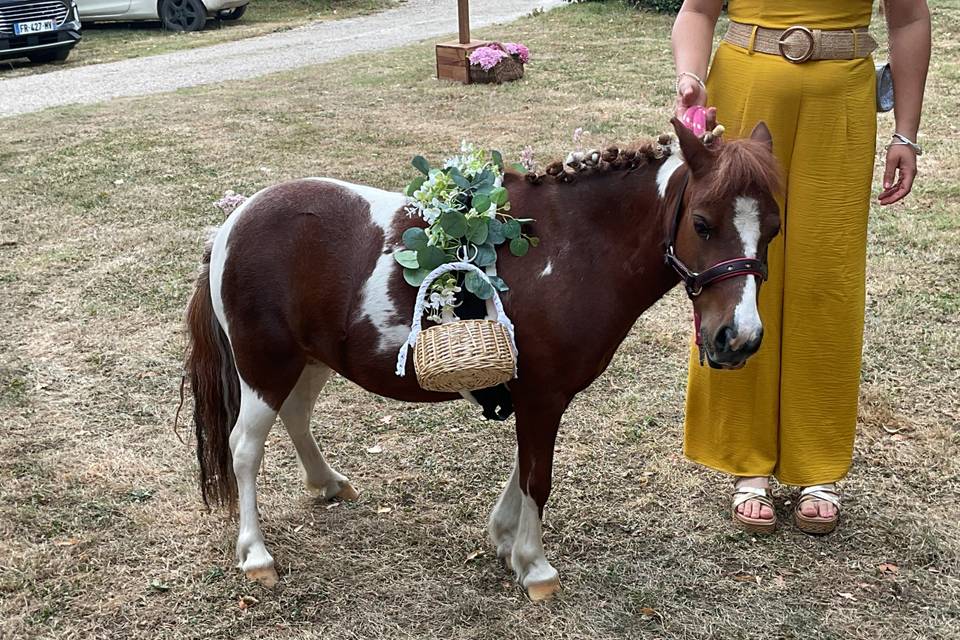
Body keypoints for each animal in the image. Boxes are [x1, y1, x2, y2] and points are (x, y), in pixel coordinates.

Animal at [183, 118, 782, 601]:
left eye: (774, 229)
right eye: (702, 223)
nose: (739, 338)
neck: (572, 248)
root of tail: (233, 224)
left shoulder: (538, 393)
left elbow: (525, 468)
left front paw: (505, 540)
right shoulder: (542, 395)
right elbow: (538, 477)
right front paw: (534, 566)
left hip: (308, 361)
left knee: (296, 417)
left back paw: (327, 483)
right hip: (265, 367)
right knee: (244, 449)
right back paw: (255, 554)